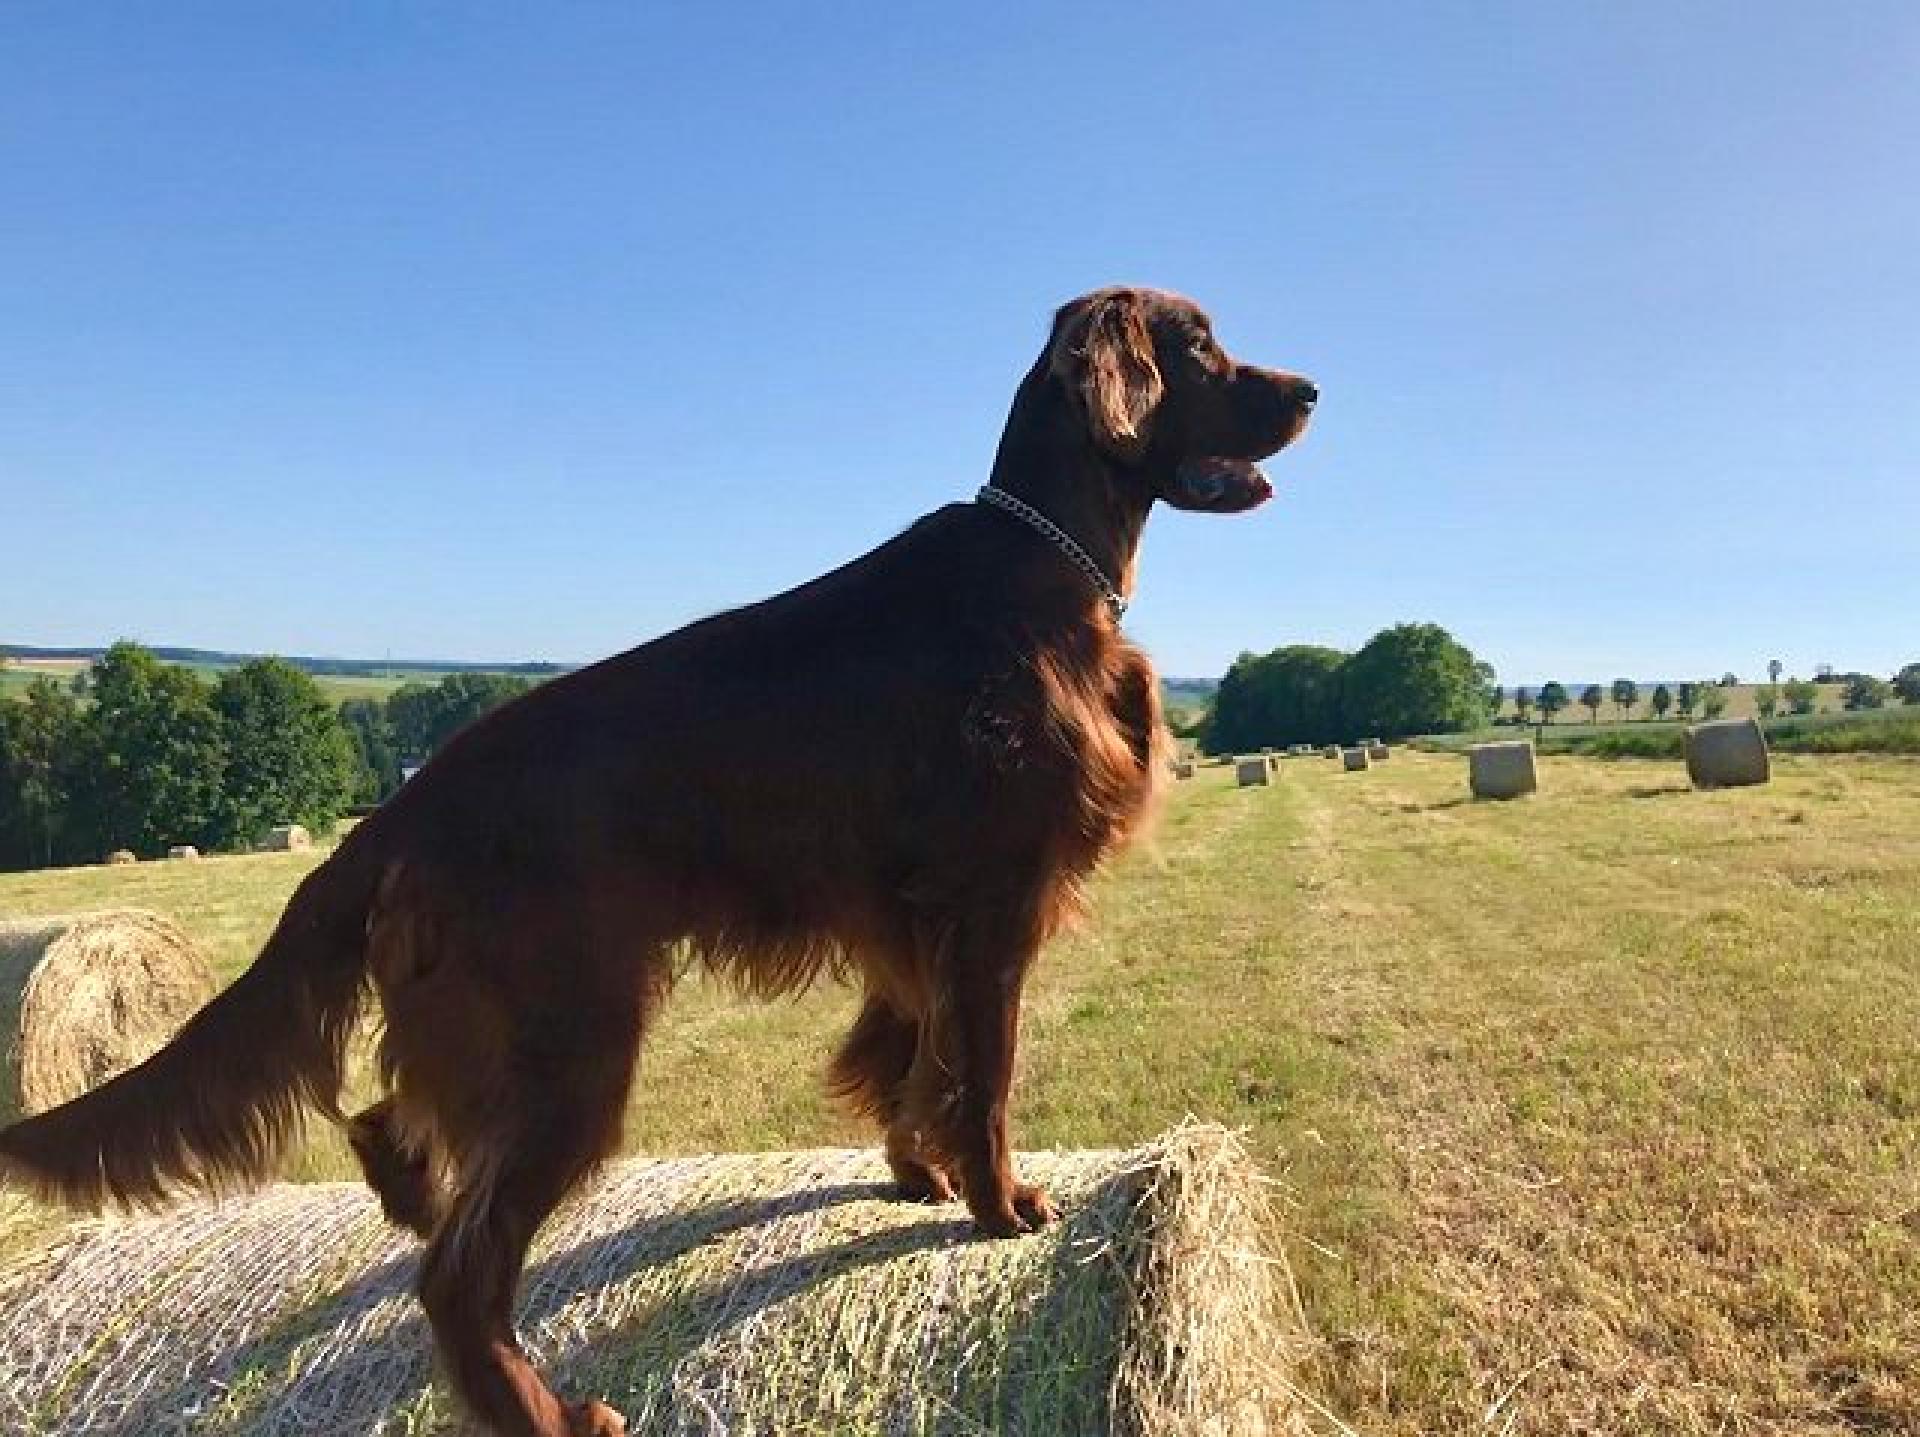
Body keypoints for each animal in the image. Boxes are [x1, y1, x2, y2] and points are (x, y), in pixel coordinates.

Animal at [0, 284, 1305, 1437]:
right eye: (1199, 346)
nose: (1310, 391)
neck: (1045, 562)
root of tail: (400, 813)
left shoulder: (904, 915)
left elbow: (908, 1056)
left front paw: (911, 1170)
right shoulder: (990, 898)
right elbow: (980, 1075)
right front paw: (999, 1207)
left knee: (386, 1126)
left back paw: (412, 1192)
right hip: (569, 1046)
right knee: (461, 1275)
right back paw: (549, 1411)